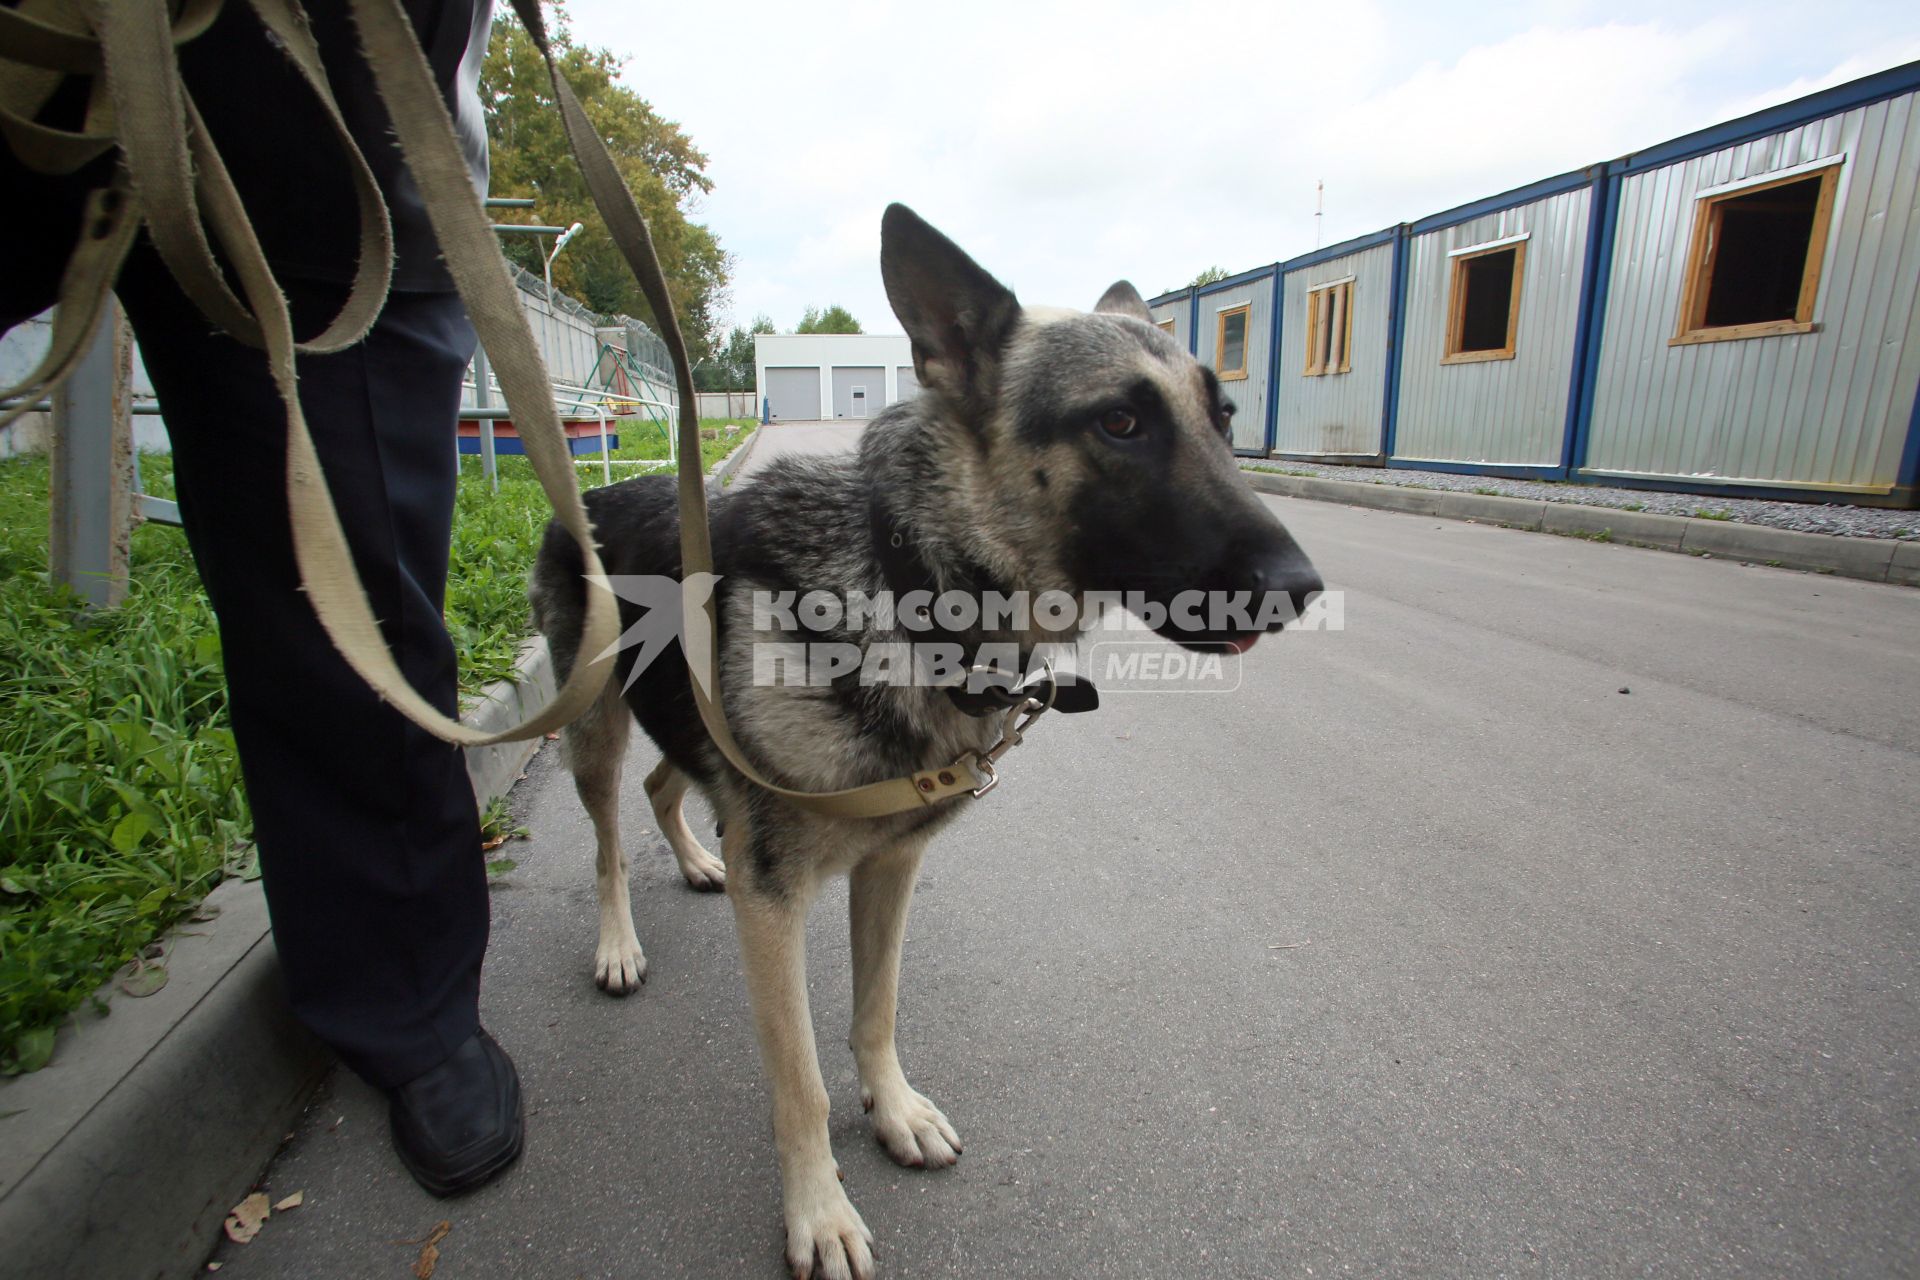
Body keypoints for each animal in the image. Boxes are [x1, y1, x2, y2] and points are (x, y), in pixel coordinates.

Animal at [533, 208, 1328, 1280]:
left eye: (1227, 422)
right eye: (1120, 424)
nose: (1303, 587)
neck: (909, 584)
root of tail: (591, 497)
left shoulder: (889, 867)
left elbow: (876, 1011)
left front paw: (894, 1110)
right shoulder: (774, 906)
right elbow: (801, 1080)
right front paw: (819, 1209)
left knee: (668, 788)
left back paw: (699, 860)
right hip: (593, 732)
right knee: (611, 840)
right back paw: (617, 943)